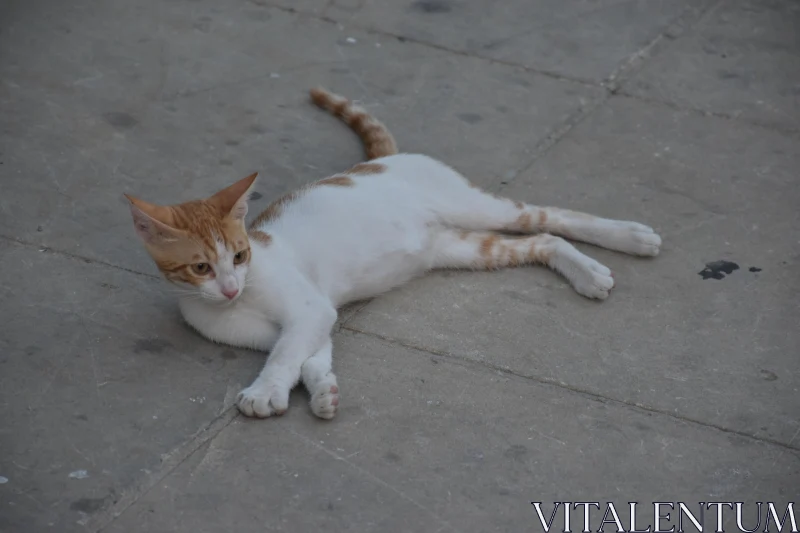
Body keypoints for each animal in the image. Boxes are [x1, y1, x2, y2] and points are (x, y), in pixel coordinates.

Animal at [126, 86, 664, 420]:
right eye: (201, 267)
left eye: (238, 255)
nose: (230, 287)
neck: (239, 303)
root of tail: (382, 160)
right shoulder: (307, 322)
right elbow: (305, 356)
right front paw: (322, 390)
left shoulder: (308, 309)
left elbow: (284, 357)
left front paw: (265, 391)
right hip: (461, 247)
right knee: (543, 241)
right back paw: (588, 272)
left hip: (471, 205)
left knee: (550, 217)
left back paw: (629, 238)